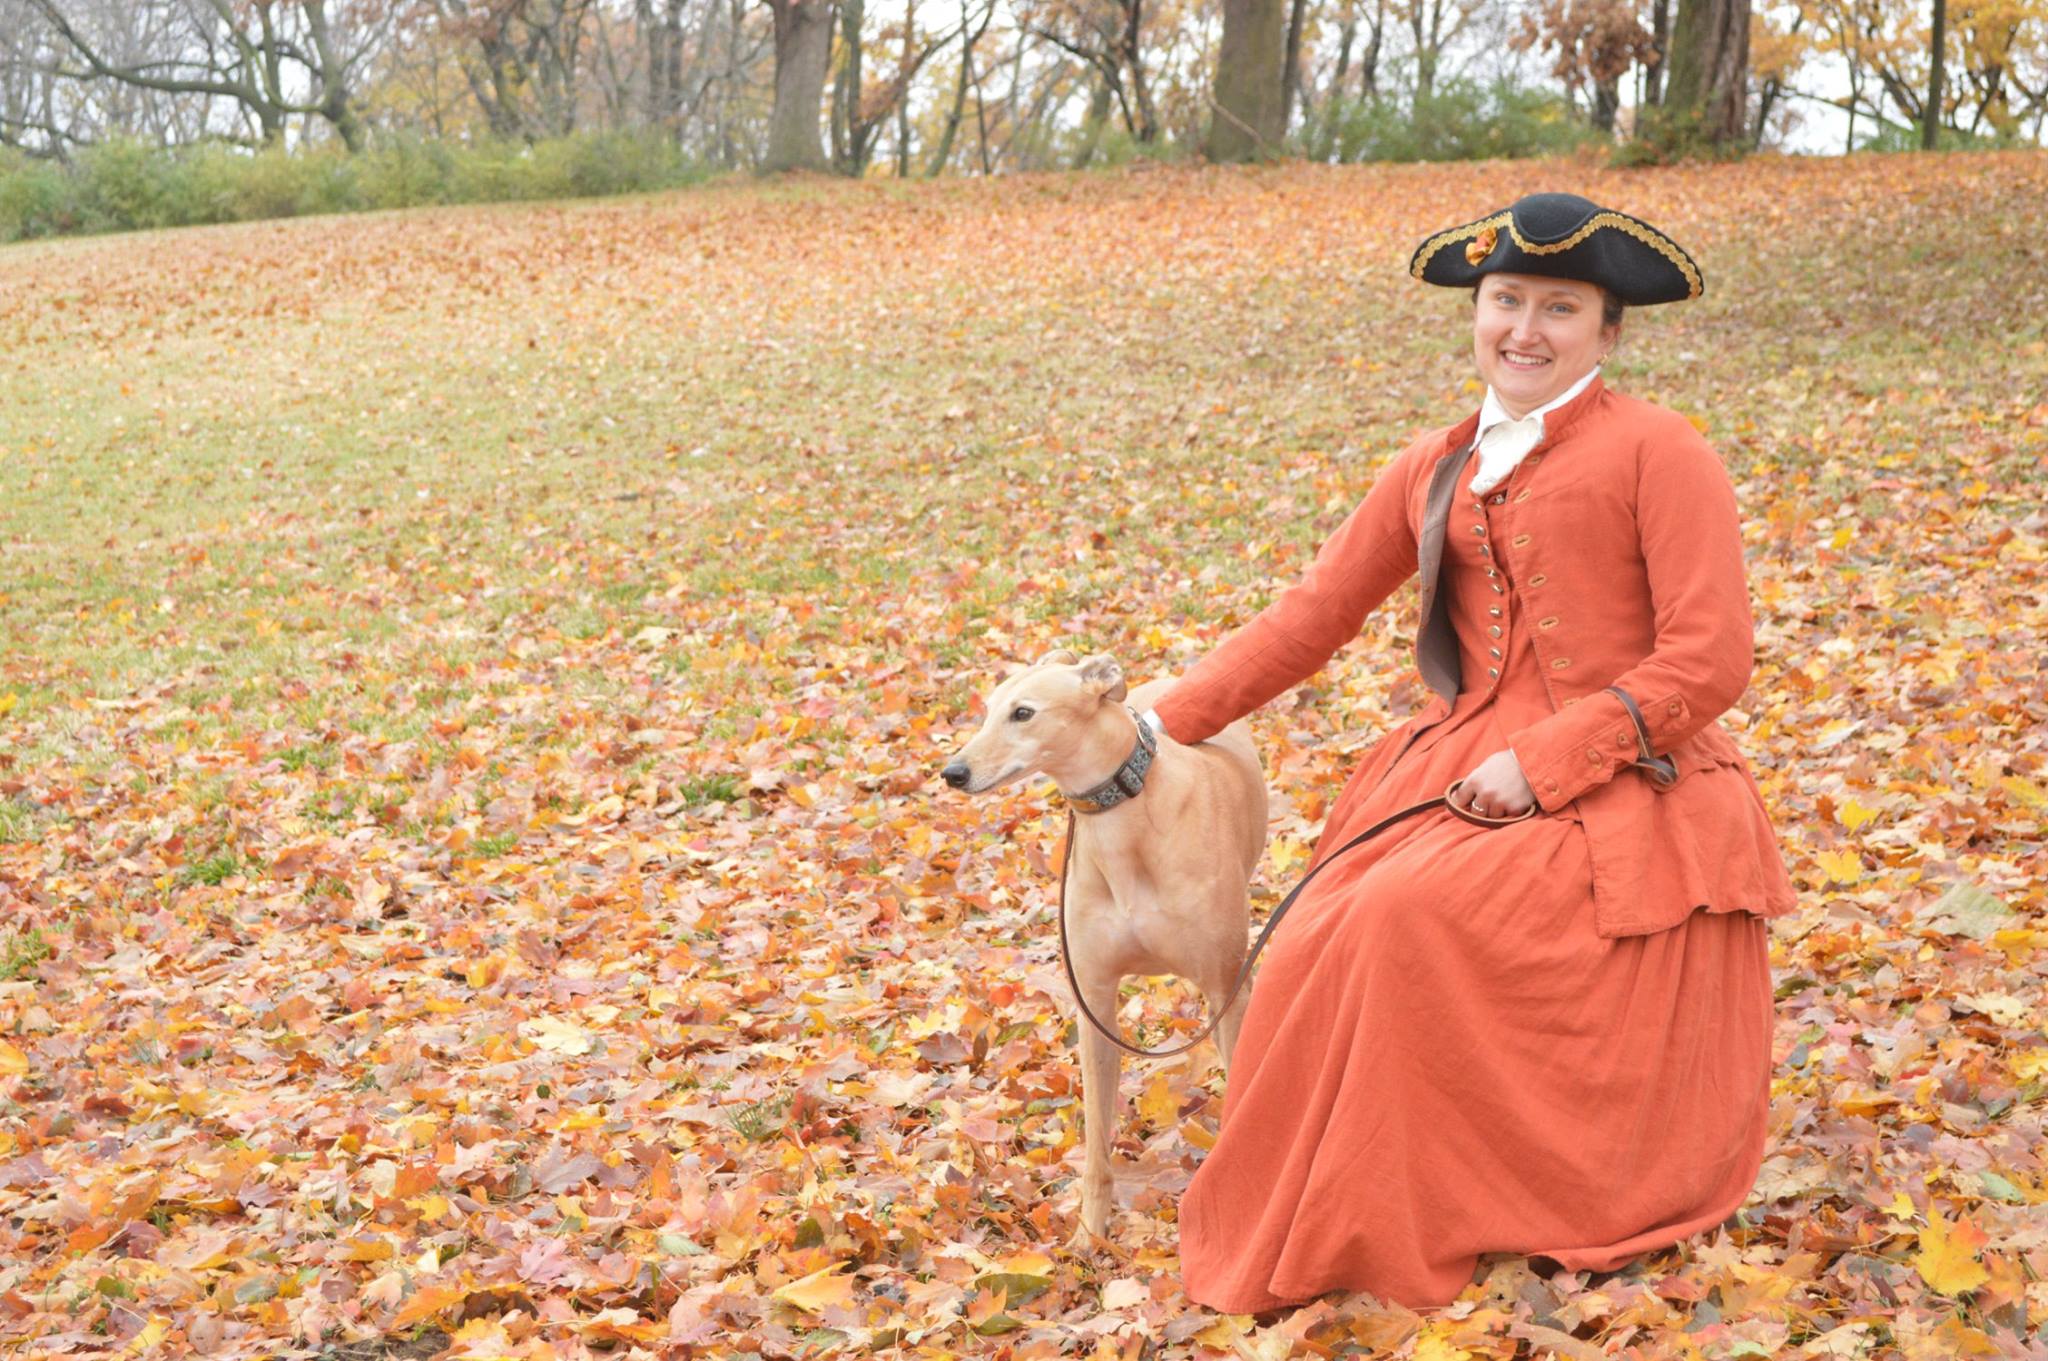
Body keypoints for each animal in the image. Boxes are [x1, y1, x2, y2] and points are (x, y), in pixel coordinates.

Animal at [937, 646, 1261, 1244]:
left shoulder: (1227, 988)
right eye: (988, 709)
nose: (953, 772)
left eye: (1023, 713)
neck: (1127, 823)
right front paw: (1089, 1236)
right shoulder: (1094, 1003)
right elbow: (1095, 1141)